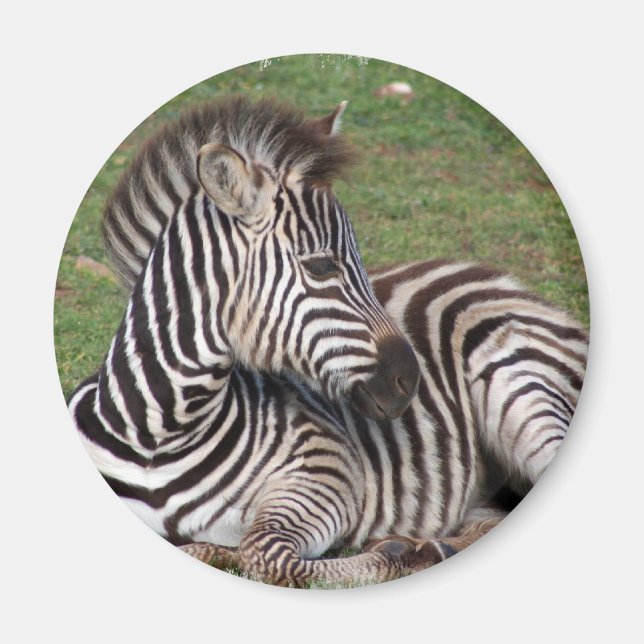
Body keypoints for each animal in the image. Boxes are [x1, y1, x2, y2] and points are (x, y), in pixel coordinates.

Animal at [67, 96, 588, 587]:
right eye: (320, 266)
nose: (411, 379)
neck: (161, 434)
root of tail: (503, 282)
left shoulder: (326, 466)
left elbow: (264, 554)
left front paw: (400, 555)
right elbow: (217, 549)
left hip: (523, 396)